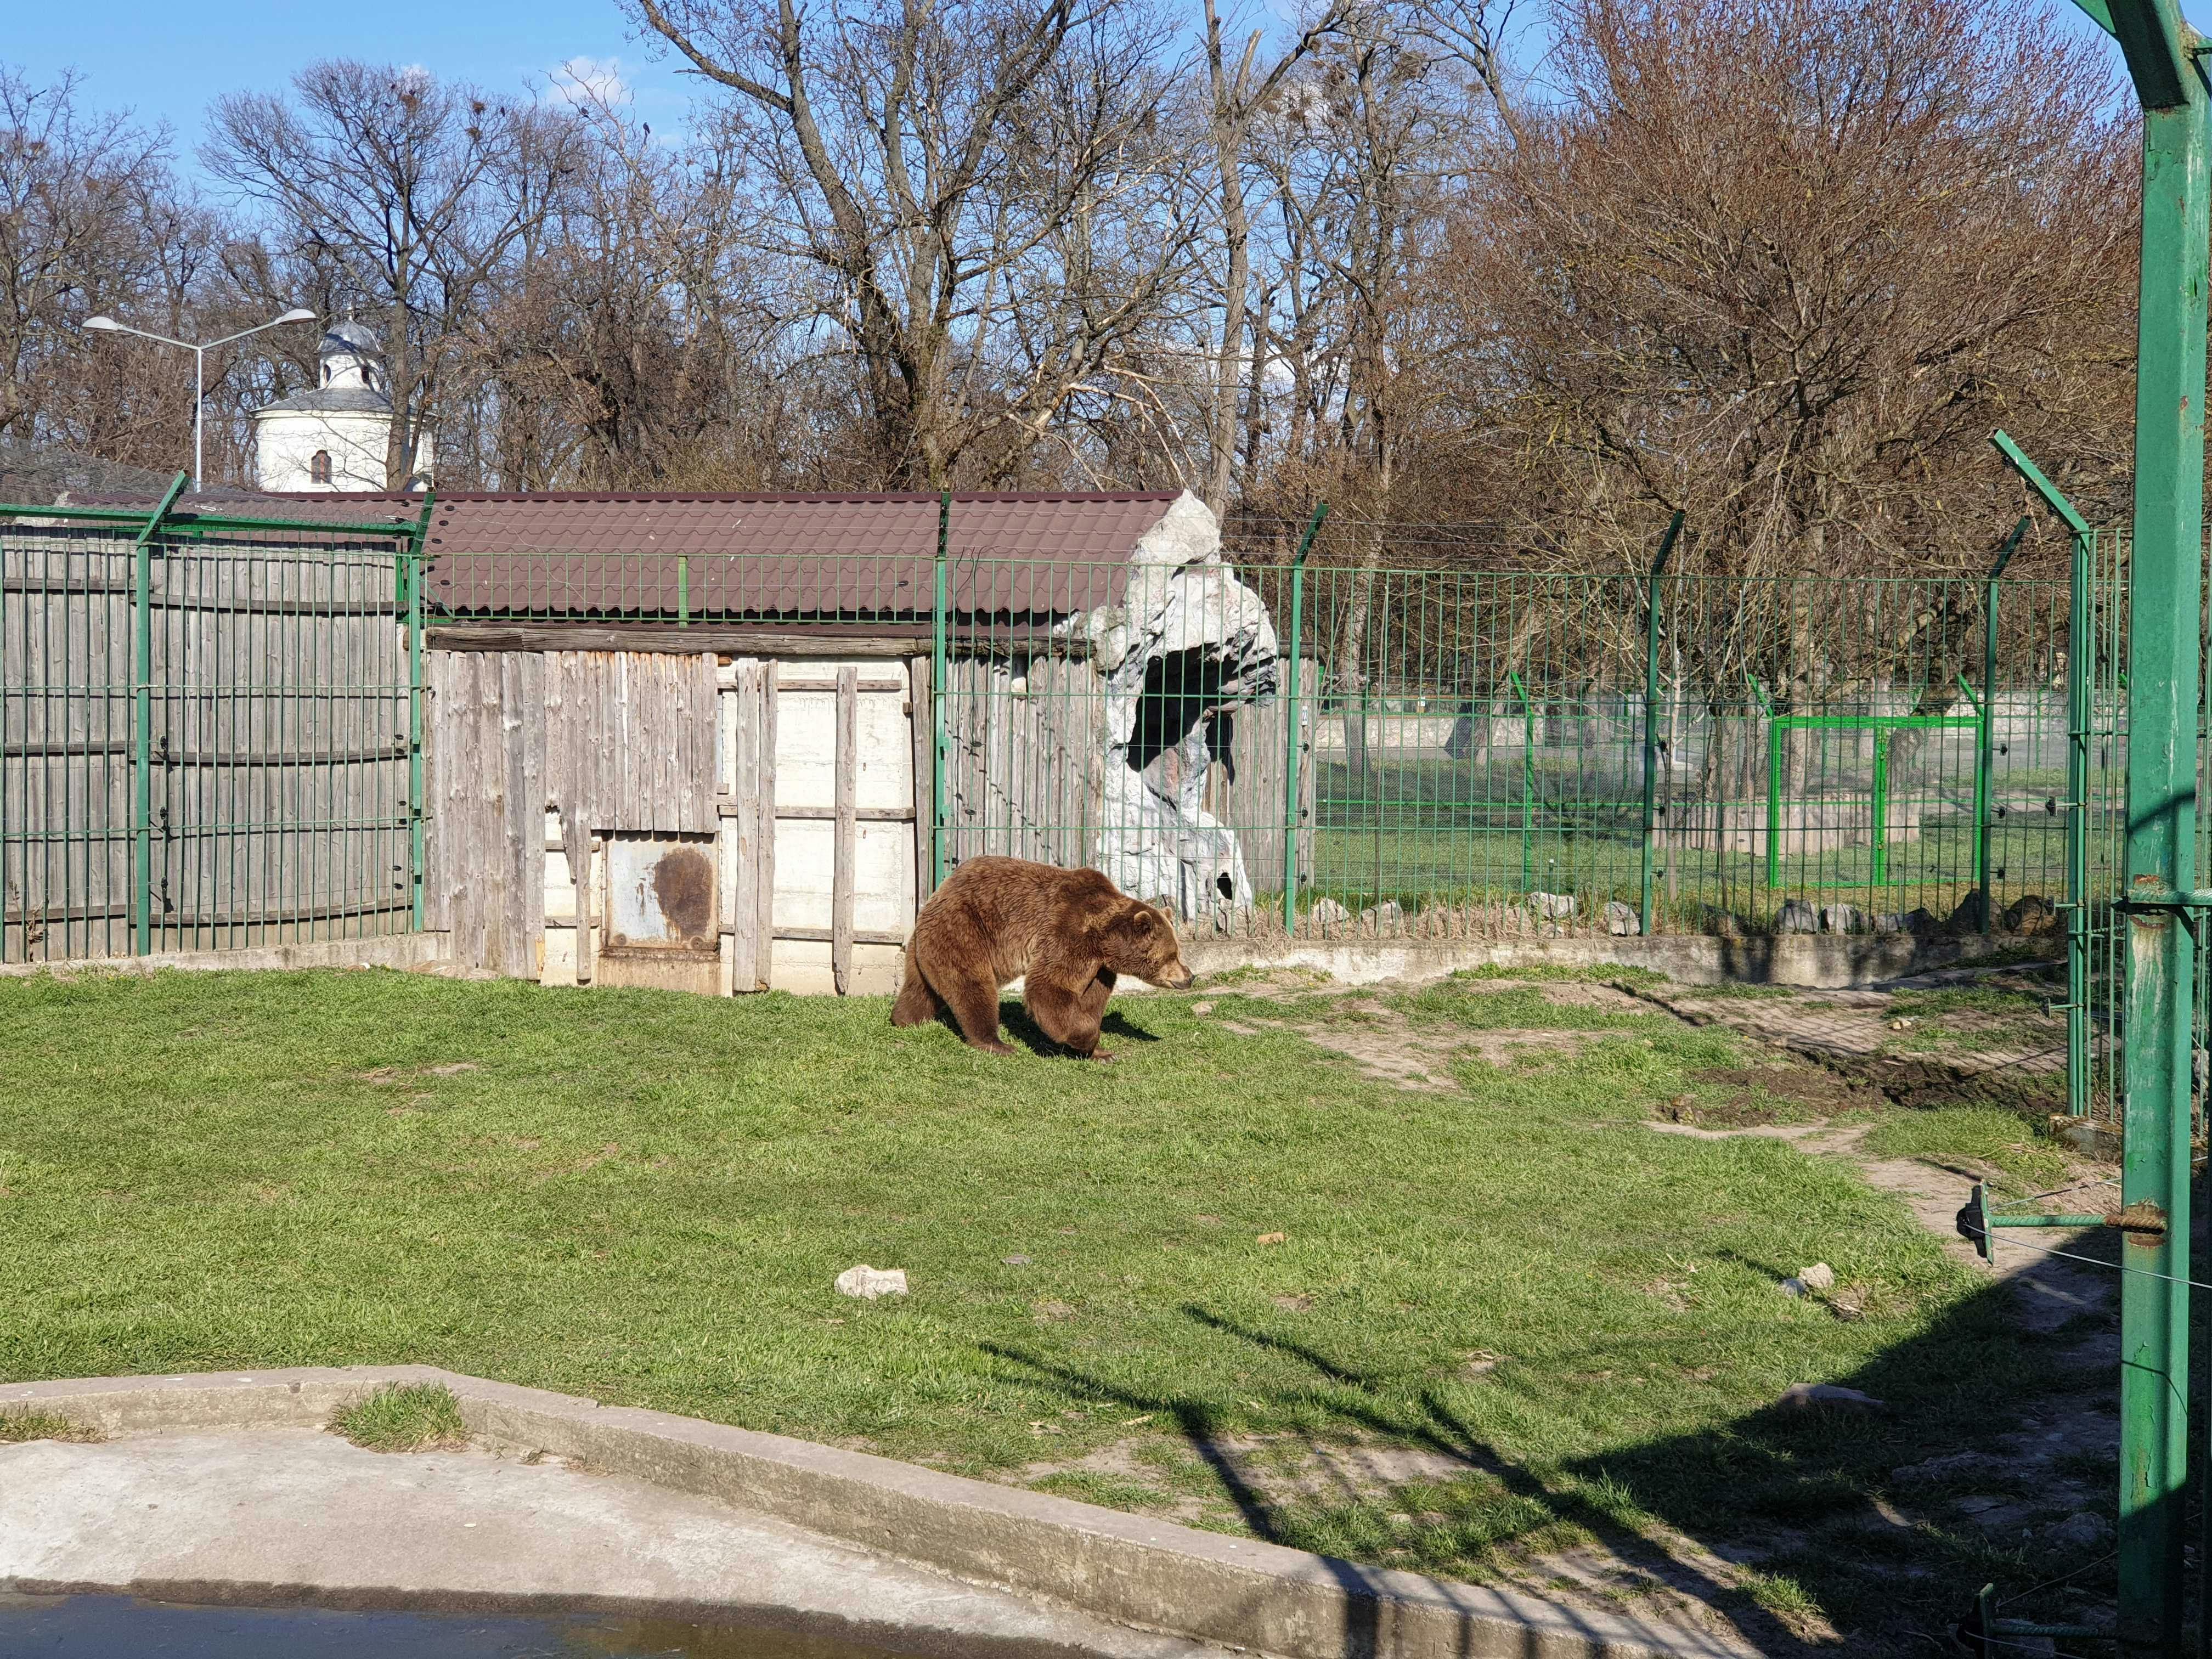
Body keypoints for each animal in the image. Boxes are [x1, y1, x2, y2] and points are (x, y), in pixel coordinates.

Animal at [890, 856, 1193, 1058]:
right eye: (1173, 954)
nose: (1190, 976)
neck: (1105, 939)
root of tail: (938, 892)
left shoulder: (1100, 966)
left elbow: (1090, 1000)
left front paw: (1099, 1051)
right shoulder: (1068, 933)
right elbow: (1048, 987)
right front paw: (1088, 1041)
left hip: (928, 945)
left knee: (921, 987)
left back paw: (903, 1019)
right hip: (965, 928)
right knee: (973, 985)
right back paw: (996, 1043)